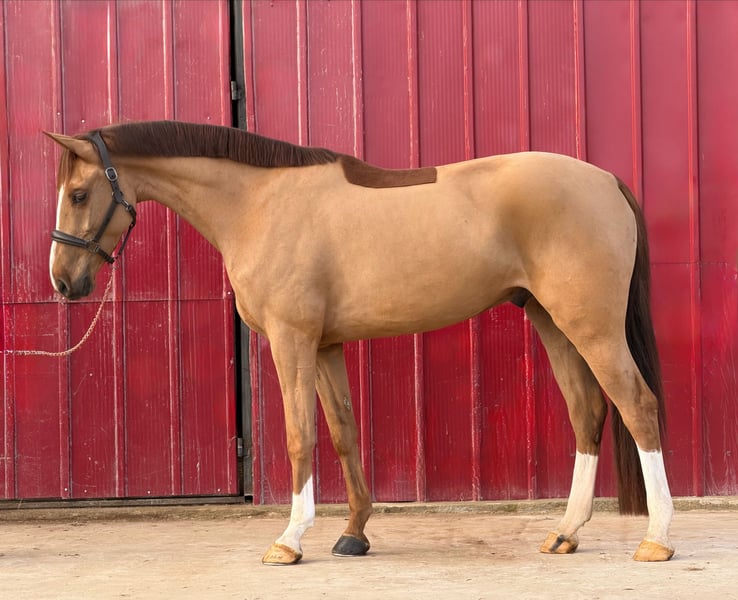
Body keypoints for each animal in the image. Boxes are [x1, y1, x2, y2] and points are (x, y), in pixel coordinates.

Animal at [46, 120, 675, 564]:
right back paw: (565, 533)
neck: (259, 203)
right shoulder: (324, 346)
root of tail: (606, 181)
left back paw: (658, 538)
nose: (63, 282)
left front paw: (290, 539)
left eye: (78, 194)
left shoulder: (292, 340)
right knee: (587, 411)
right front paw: (353, 534)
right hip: (552, 320)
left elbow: (300, 436)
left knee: (636, 406)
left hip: (590, 325)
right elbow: (344, 433)